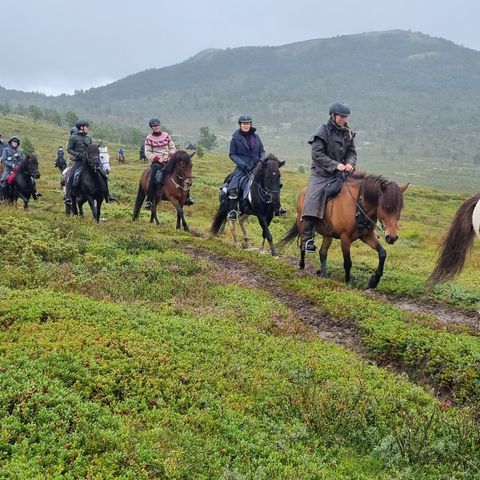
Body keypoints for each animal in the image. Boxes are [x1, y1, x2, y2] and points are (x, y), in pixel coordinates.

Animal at [278, 172, 408, 286]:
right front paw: (347, 281)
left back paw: (324, 273)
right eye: (385, 206)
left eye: (399, 208)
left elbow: (382, 253)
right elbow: (348, 262)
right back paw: (302, 265)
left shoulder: (367, 235)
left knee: (323, 252)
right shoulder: (345, 238)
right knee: (303, 245)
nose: (392, 237)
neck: (358, 206)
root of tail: (303, 191)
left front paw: (374, 281)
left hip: (328, 234)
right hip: (303, 225)